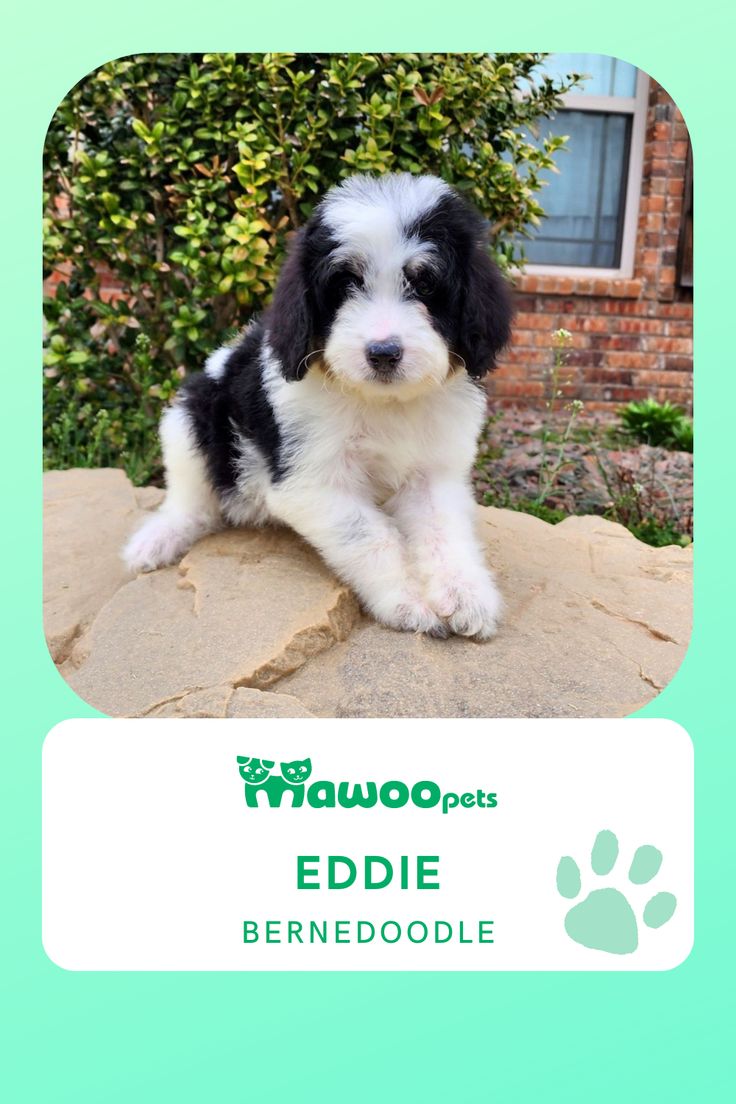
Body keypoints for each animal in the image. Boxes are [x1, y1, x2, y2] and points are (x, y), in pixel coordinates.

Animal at [123, 172, 512, 640]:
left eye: (424, 284)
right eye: (345, 284)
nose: (383, 353)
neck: (382, 402)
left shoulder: (434, 472)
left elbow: (443, 531)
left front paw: (465, 595)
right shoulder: (311, 480)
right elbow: (370, 535)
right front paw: (407, 601)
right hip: (192, 418)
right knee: (192, 500)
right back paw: (158, 539)